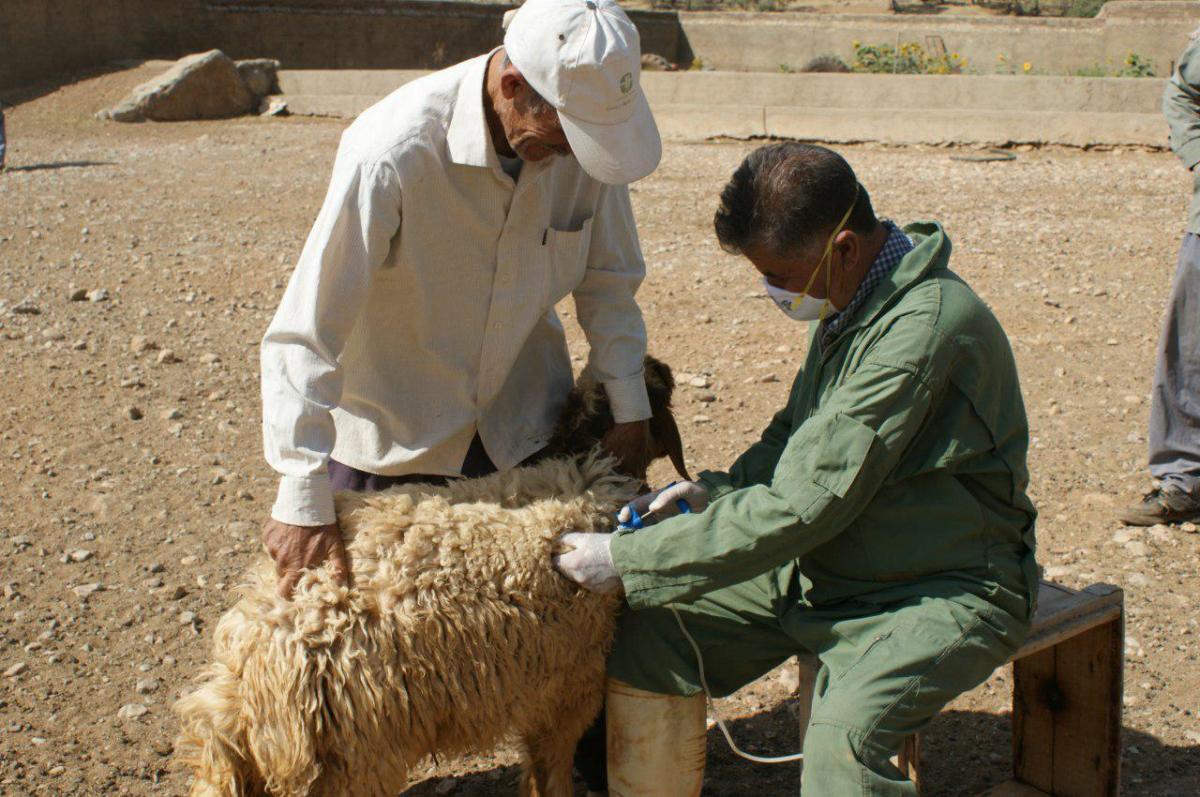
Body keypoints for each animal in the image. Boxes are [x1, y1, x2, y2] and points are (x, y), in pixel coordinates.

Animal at [174, 357, 691, 792]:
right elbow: (550, 775)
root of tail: (246, 673)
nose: (660, 368)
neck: (586, 466)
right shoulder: (566, 694)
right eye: (658, 394)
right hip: (358, 756)